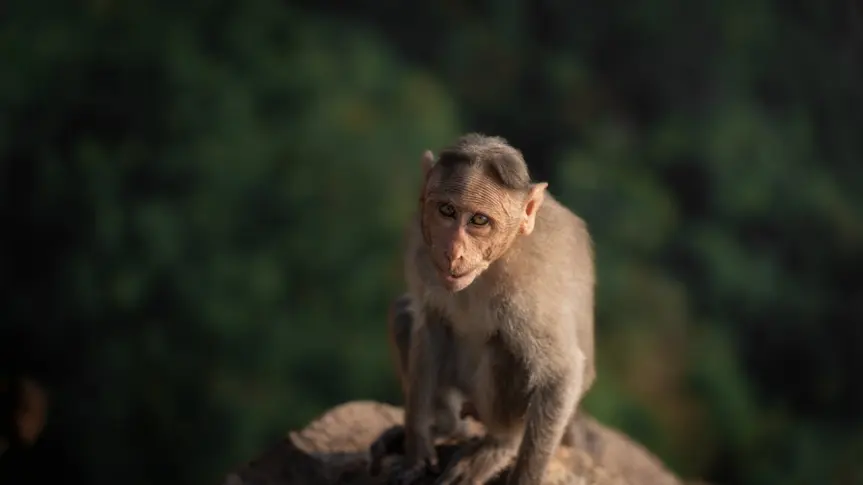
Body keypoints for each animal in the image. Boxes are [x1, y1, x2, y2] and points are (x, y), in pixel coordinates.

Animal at [390, 134, 592, 484]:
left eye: (479, 220)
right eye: (447, 210)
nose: (453, 252)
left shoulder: (530, 291)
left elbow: (561, 373)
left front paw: (523, 475)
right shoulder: (420, 249)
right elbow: (429, 326)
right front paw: (417, 444)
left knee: (507, 350)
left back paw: (501, 443)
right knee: (405, 315)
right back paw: (446, 424)